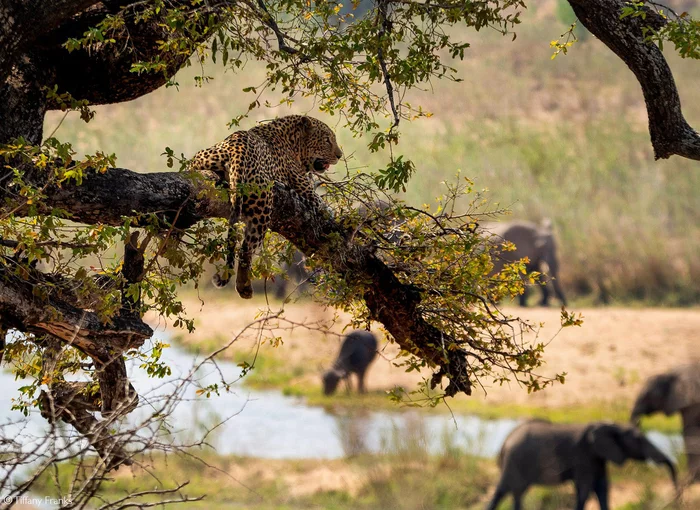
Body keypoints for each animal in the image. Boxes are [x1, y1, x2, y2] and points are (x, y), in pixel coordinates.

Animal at [189, 115, 342, 298]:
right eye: (327, 140)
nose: (340, 156)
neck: (293, 142)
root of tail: (238, 150)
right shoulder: (305, 188)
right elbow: (323, 206)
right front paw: (333, 213)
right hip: (264, 204)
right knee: (246, 249)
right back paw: (244, 287)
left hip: (203, 156)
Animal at [486, 418, 680, 510]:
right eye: (639, 440)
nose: (673, 500)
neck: (611, 426)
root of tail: (506, 441)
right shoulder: (584, 456)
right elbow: (584, 489)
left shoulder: (598, 458)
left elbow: (603, 488)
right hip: (517, 461)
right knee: (515, 492)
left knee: (503, 491)